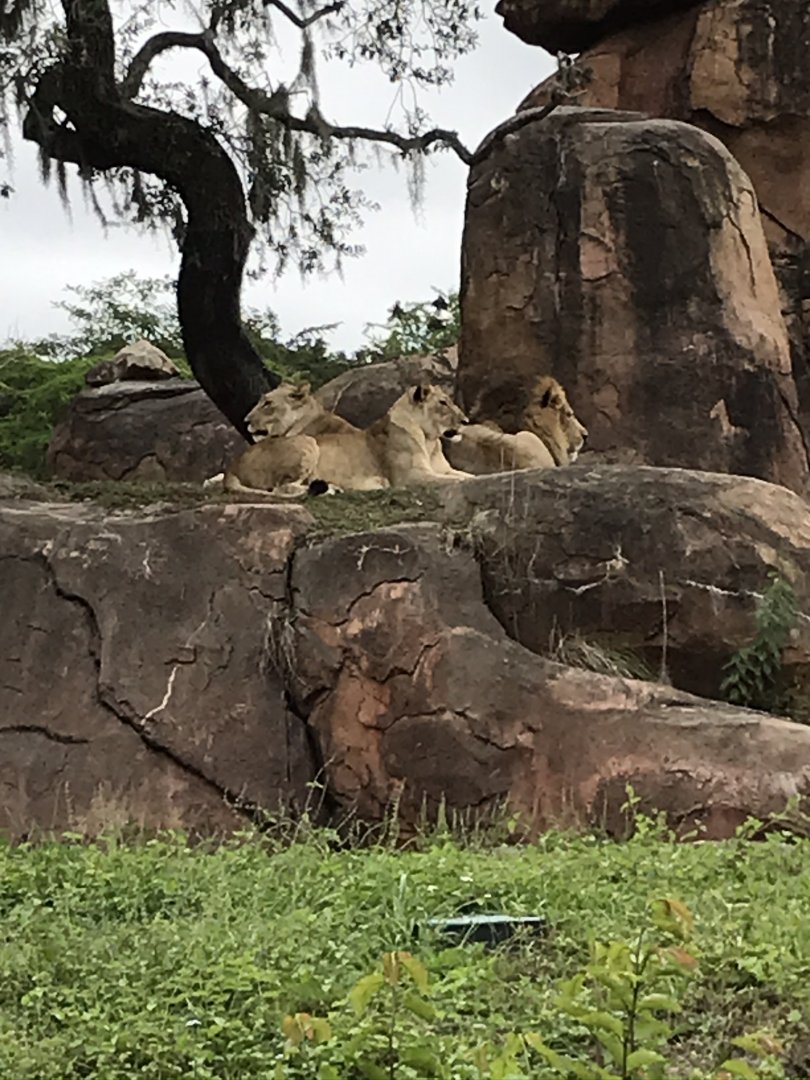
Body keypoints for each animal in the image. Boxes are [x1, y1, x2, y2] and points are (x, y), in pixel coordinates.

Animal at [219, 382, 472, 496]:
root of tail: (232, 465)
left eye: (267, 403)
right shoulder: (409, 478)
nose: (466, 420)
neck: (430, 440)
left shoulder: (444, 469)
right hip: (308, 442)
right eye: (443, 403)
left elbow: (467, 476)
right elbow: (453, 481)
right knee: (282, 489)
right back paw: (330, 489)